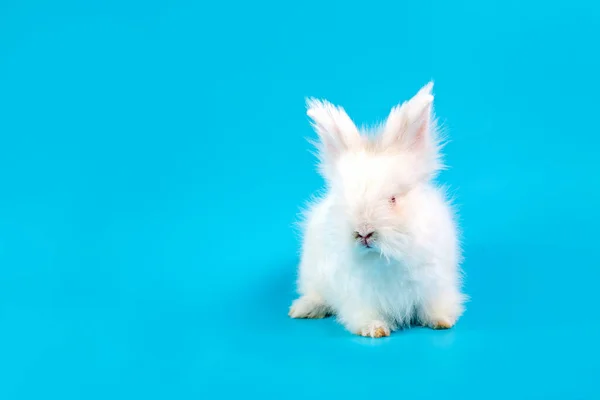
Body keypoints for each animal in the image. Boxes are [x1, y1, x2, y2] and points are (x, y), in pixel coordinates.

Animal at [288, 82, 466, 338]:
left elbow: (434, 306)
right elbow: (364, 315)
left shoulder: (435, 282)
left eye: (393, 198)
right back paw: (302, 309)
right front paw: (375, 329)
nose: (363, 233)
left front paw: (442, 321)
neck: (384, 259)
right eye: (343, 200)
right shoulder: (358, 296)